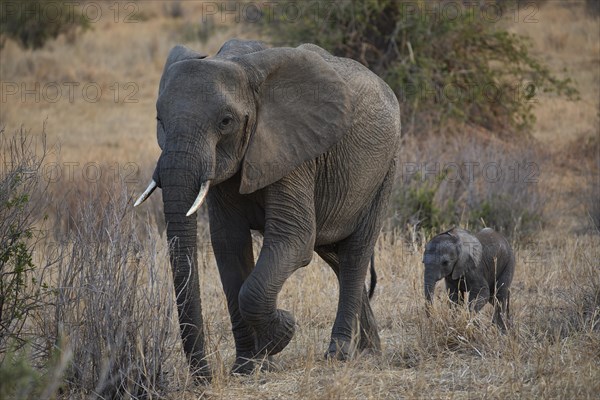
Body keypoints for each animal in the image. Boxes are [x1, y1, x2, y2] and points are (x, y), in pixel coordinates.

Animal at [134, 39, 400, 378]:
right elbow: (229, 244)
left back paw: (339, 354)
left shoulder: (293, 150)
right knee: (334, 256)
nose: (204, 375)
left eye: (226, 122)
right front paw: (247, 366)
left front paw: (282, 333)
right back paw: (369, 350)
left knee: (355, 253)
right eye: (160, 122)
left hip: (385, 168)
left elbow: (292, 240)